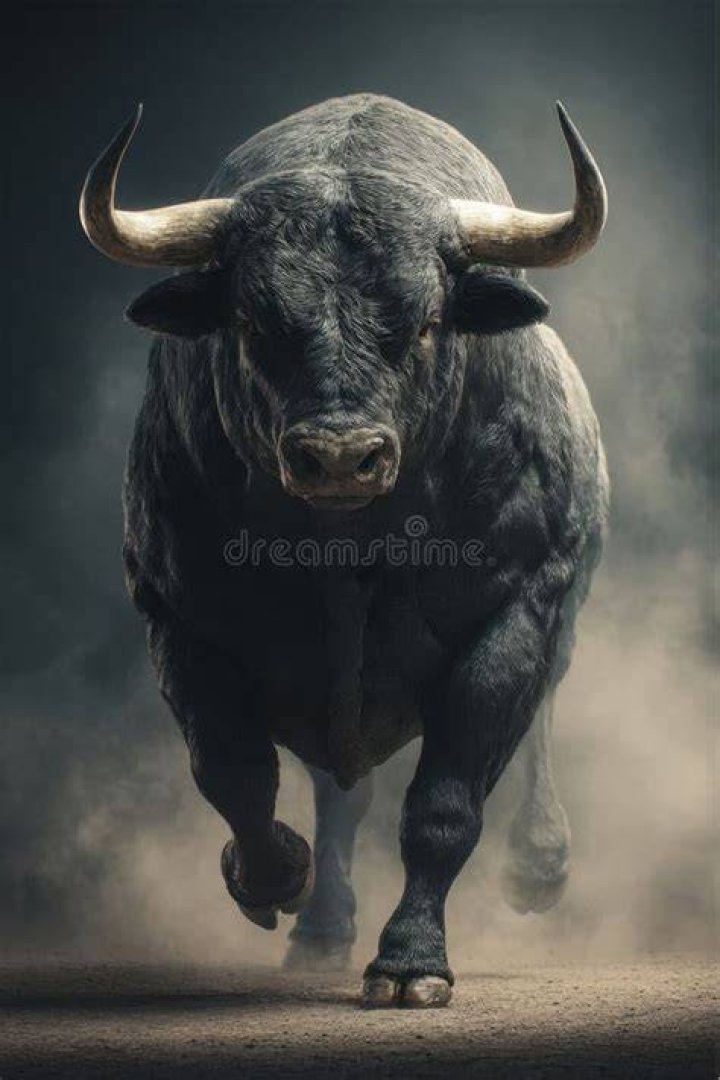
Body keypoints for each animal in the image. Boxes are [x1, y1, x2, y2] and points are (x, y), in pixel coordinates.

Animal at [80, 93, 608, 1008]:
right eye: (251, 322)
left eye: (427, 322)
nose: (338, 455)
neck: (345, 552)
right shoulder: (174, 615)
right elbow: (233, 772)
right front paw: (270, 875)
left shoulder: (519, 609)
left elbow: (444, 805)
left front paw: (410, 963)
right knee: (337, 797)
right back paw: (321, 927)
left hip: (563, 618)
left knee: (536, 723)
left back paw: (539, 865)